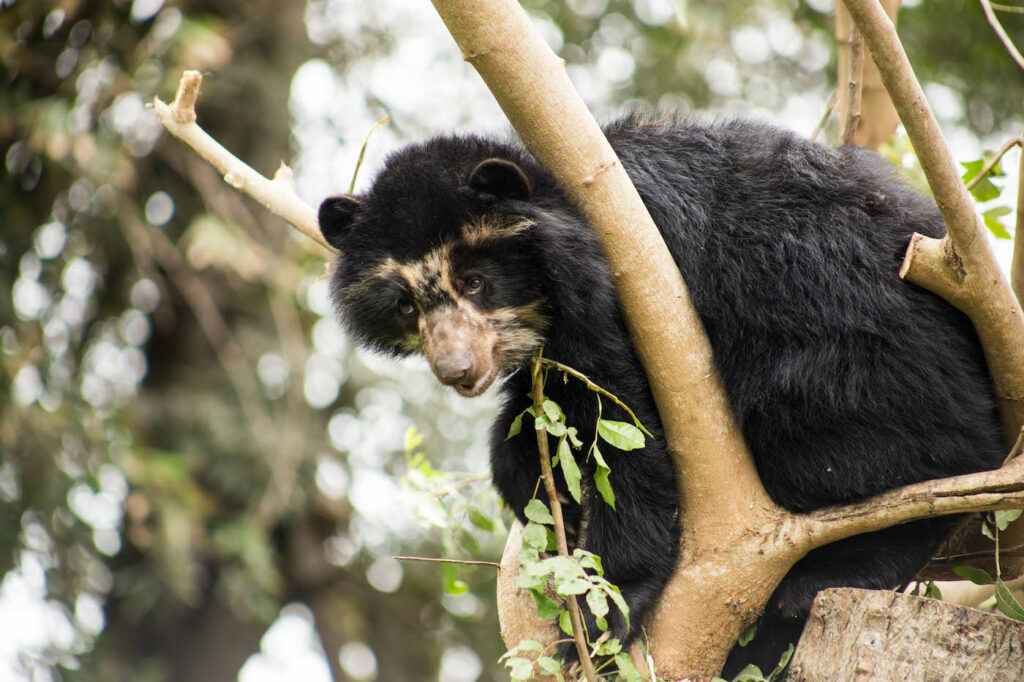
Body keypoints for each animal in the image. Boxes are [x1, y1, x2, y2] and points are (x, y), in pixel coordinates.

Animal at [317, 115, 1006, 675]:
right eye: (406, 305)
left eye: (475, 282)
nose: (458, 370)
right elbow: (539, 425)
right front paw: (541, 486)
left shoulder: (630, 292)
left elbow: (629, 427)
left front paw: (601, 615)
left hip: (867, 375)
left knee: (896, 461)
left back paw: (818, 582)